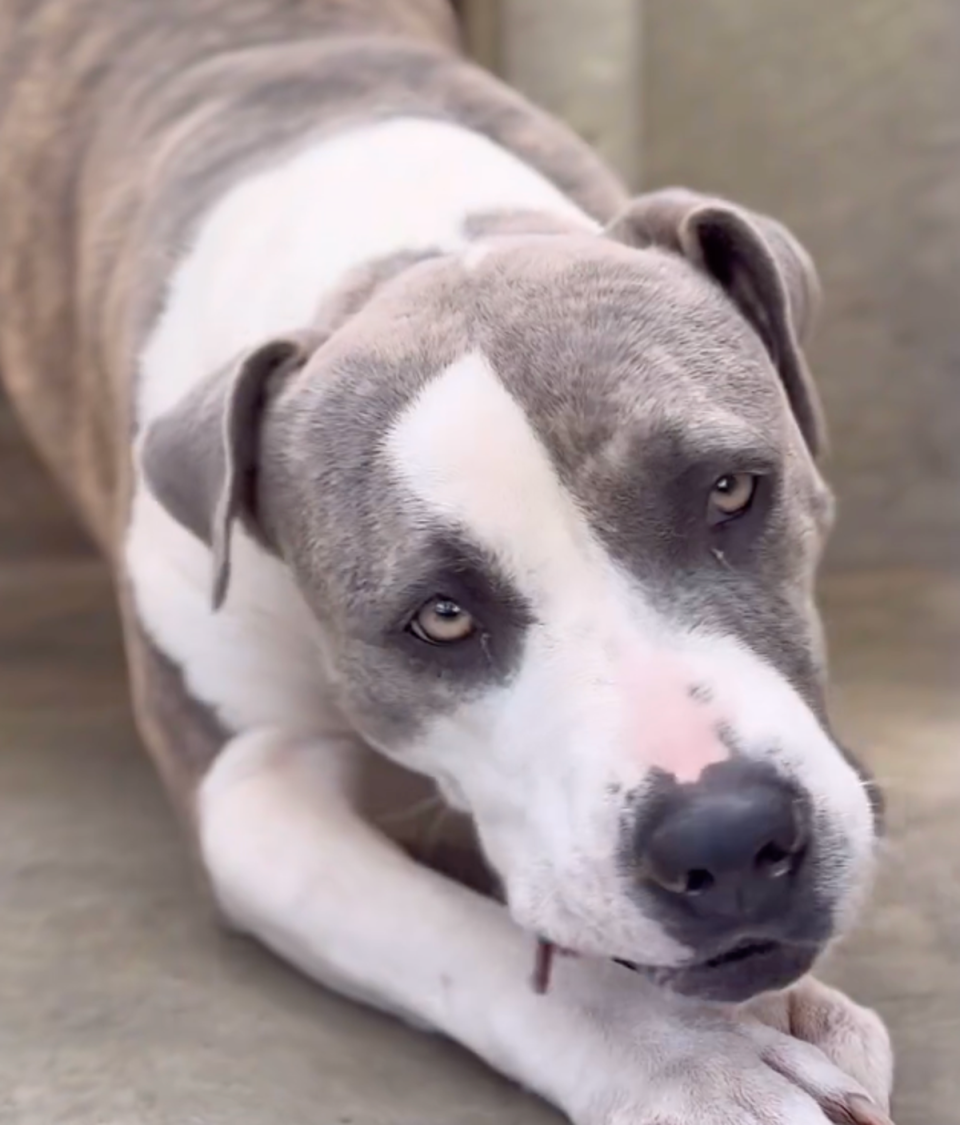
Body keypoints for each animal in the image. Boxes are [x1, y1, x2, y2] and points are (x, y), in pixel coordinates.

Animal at [0, 2, 891, 1125]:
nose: (726, 839)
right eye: (442, 616)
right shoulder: (254, 785)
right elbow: (476, 949)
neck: (395, 251)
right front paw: (694, 1061)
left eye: (731, 490)